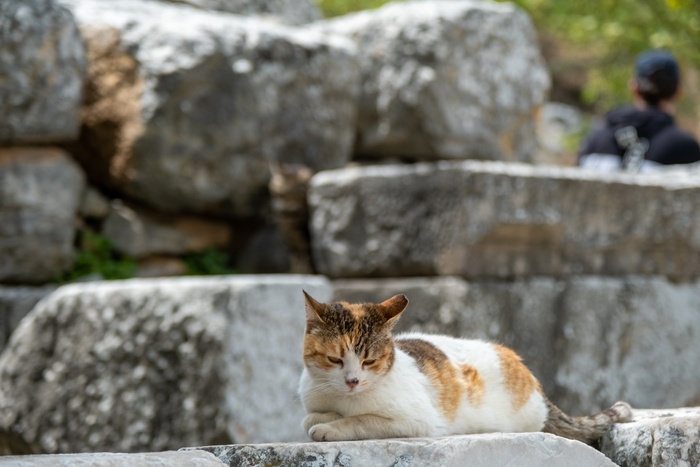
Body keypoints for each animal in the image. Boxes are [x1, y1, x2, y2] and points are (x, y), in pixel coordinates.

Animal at [298, 294, 632, 444]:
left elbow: (362, 420)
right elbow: (310, 416)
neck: (343, 399)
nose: (353, 381)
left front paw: (331, 427)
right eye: (335, 360)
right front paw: (325, 418)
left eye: (369, 361)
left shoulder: (417, 420)